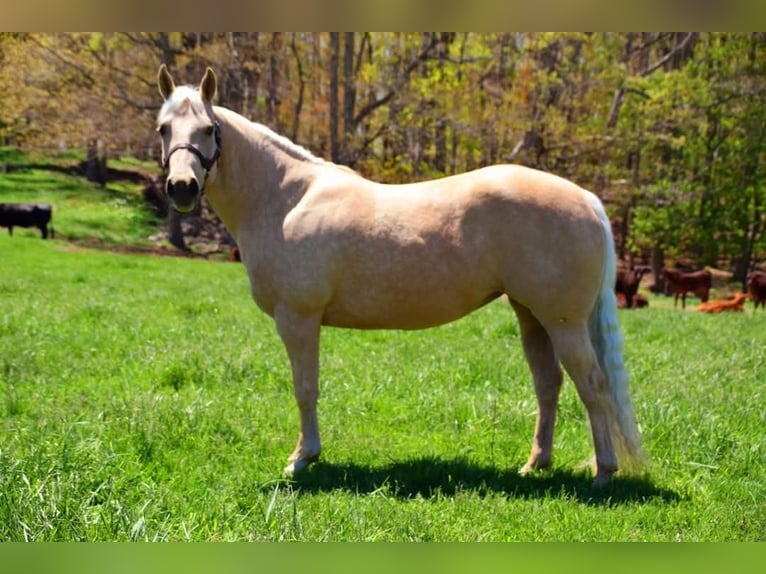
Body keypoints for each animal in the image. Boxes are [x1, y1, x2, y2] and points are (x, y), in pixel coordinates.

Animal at [155, 65, 644, 487]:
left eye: (207, 129)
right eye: (163, 128)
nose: (181, 188)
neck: (285, 199)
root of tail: (586, 199)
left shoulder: (298, 318)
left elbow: (305, 388)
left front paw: (302, 458)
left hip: (564, 321)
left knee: (592, 385)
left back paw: (603, 472)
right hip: (531, 315)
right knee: (549, 384)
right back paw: (536, 463)